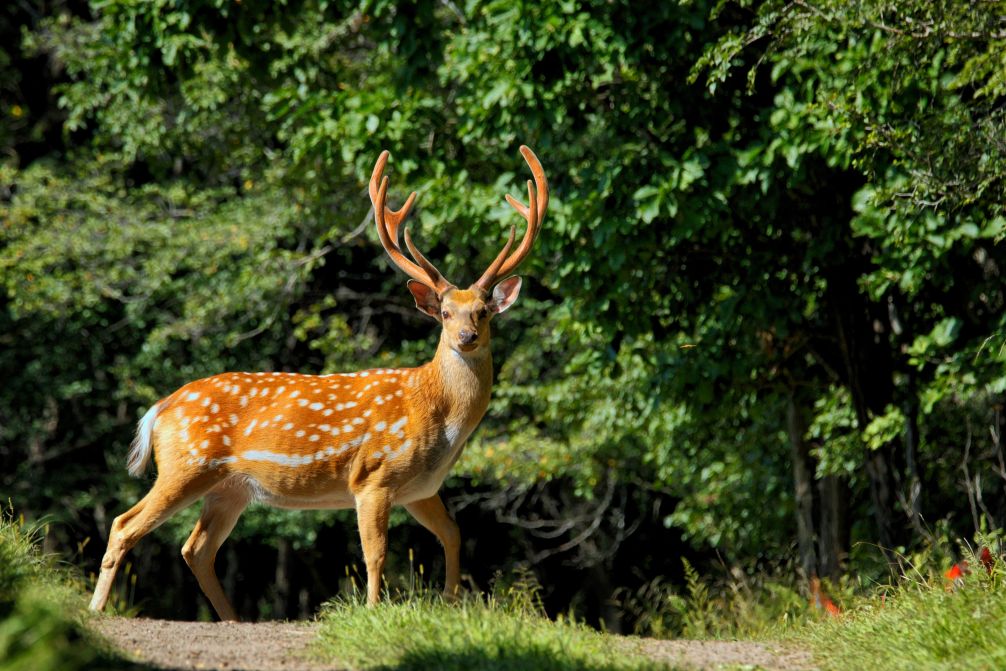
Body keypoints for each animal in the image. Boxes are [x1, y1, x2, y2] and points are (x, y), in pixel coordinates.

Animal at [87, 146, 548, 621]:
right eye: (444, 313)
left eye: (483, 311)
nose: (466, 337)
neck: (434, 412)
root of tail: (159, 409)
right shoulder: (373, 476)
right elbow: (375, 553)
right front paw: (372, 612)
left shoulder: (421, 490)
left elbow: (452, 534)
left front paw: (452, 604)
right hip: (186, 465)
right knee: (125, 524)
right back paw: (97, 609)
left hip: (229, 489)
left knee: (196, 548)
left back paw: (233, 619)